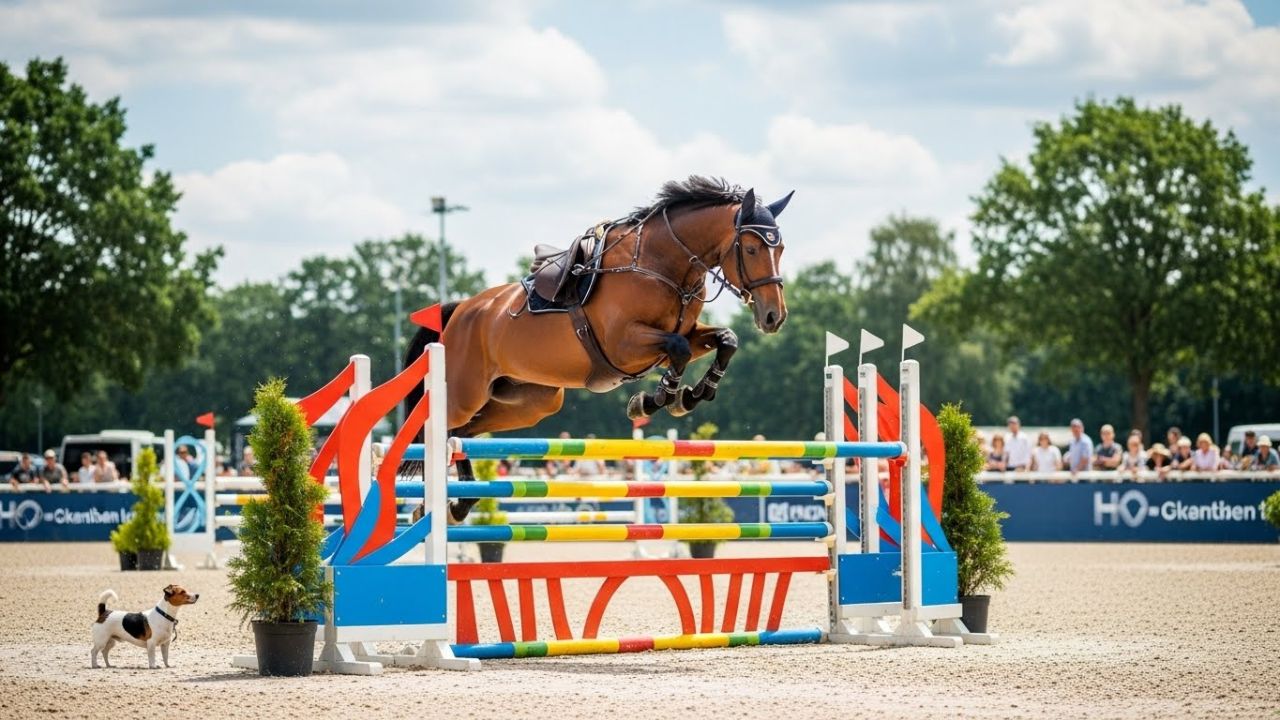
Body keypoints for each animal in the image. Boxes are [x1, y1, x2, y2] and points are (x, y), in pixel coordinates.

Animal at [405, 176, 793, 521]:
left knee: (462, 434)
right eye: (752, 248)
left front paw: (692, 395)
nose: (773, 317)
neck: (661, 264)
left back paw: (459, 505)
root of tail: (461, 310)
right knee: (436, 432)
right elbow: (679, 348)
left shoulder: (686, 333)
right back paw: (430, 507)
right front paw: (655, 400)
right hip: (464, 394)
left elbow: (726, 339)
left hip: (529, 402)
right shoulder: (624, 345)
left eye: (781, 248)